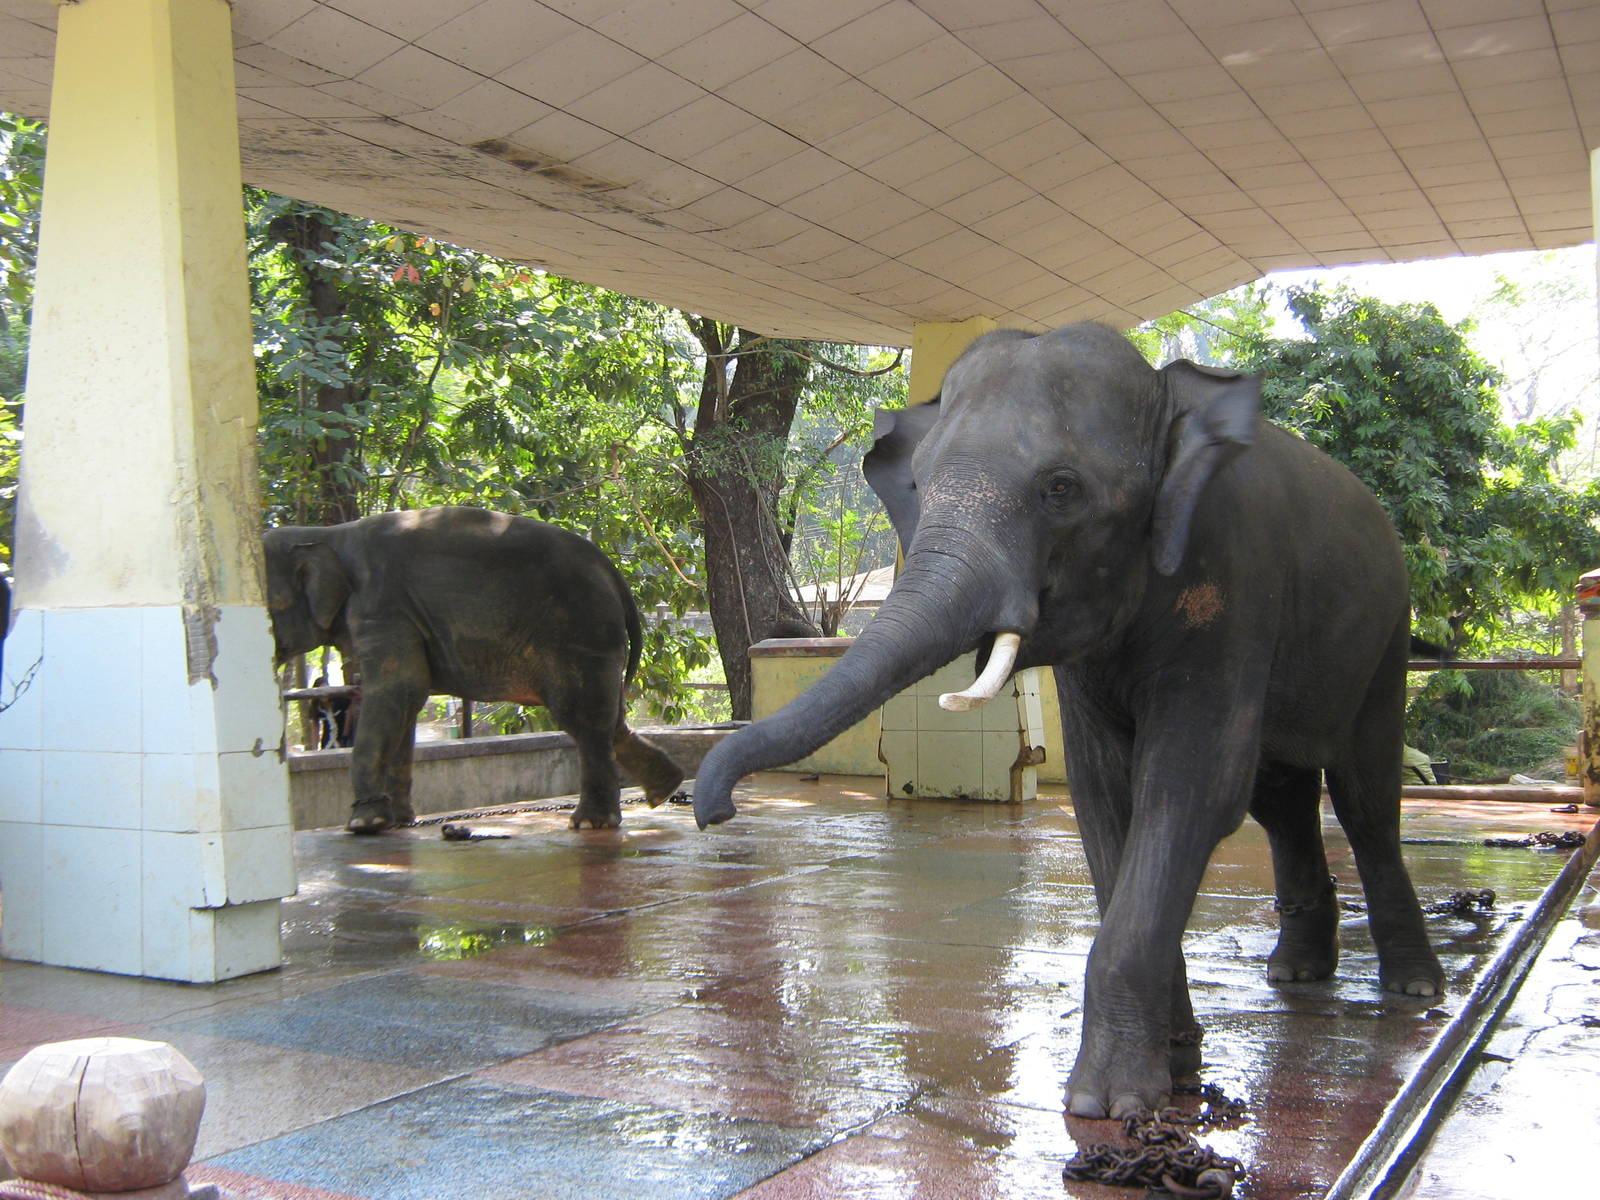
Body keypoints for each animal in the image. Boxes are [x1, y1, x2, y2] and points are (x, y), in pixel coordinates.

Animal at [264, 506, 685, 834]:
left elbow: (398, 691)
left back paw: (591, 823)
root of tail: (612, 572)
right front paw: (396, 821)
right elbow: (405, 701)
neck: (325, 535)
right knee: (605, 719)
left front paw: (364, 824)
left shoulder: (382, 609)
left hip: (581, 630)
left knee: (582, 717)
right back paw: (664, 788)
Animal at [691, 324, 1443, 1120]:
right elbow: (1103, 793)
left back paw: (1413, 988)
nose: (715, 813)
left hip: (1386, 636)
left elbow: (1189, 788)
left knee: (1363, 796)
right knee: (1283, 799)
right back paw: (1297, 975)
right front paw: (1173, 1065)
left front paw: (1107, 1104)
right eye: (920, 486)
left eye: (1061, 489)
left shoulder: (1235, 584)